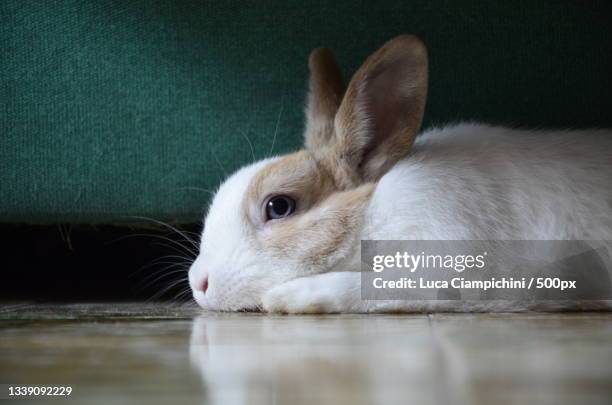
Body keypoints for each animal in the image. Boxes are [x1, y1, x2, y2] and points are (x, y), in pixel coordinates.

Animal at [188, 34, 612, 312]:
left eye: (278, 206)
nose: (197, 283)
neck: (374, 213)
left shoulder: (460, 266)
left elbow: (380, 285)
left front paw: (292, 297)